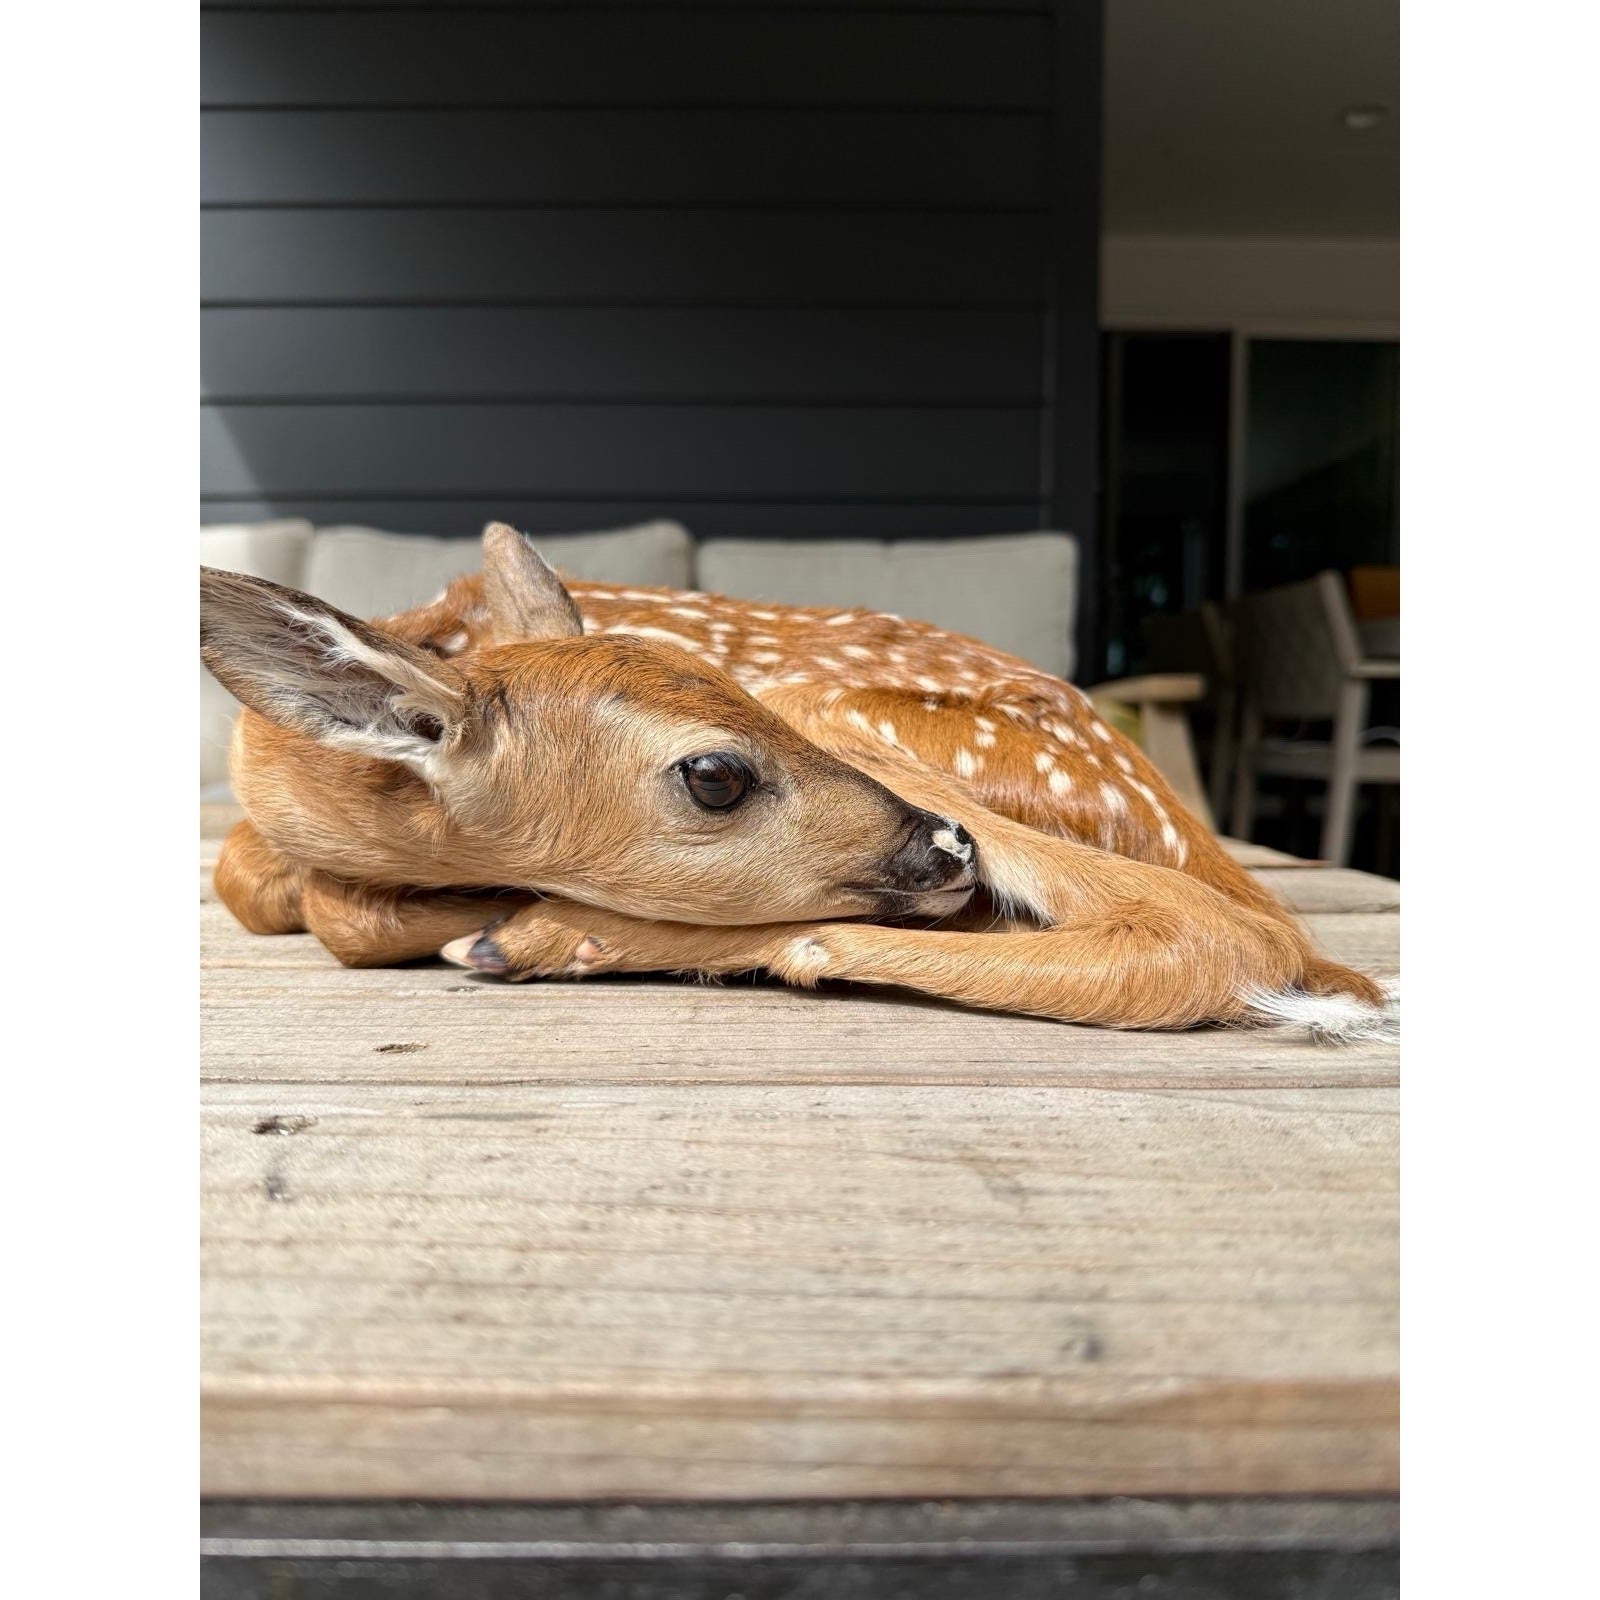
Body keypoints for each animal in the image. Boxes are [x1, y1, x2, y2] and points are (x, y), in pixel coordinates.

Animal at [201, 523, 1397, 1040]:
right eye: (715, 776)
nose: (946, 847)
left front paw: (494, 914)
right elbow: (260, 886)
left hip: (849, 707)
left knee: (1225, 934)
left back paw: (552, 936)